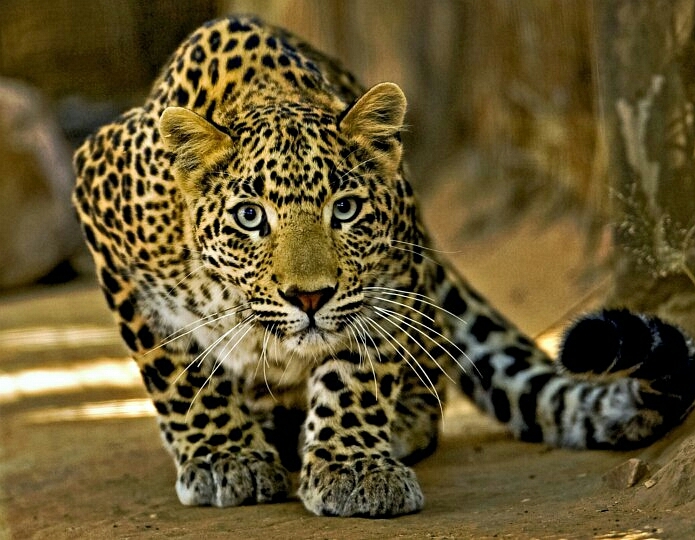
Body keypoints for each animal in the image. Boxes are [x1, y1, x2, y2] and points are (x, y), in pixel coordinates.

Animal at [72, 15, 695, 518]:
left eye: (345, 209)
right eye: (250, 217)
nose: (309, 298)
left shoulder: (389, 280)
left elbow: (356, 376)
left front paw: (352, 469)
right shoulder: (102, 210)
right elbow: (177, 371)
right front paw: (225, 458)